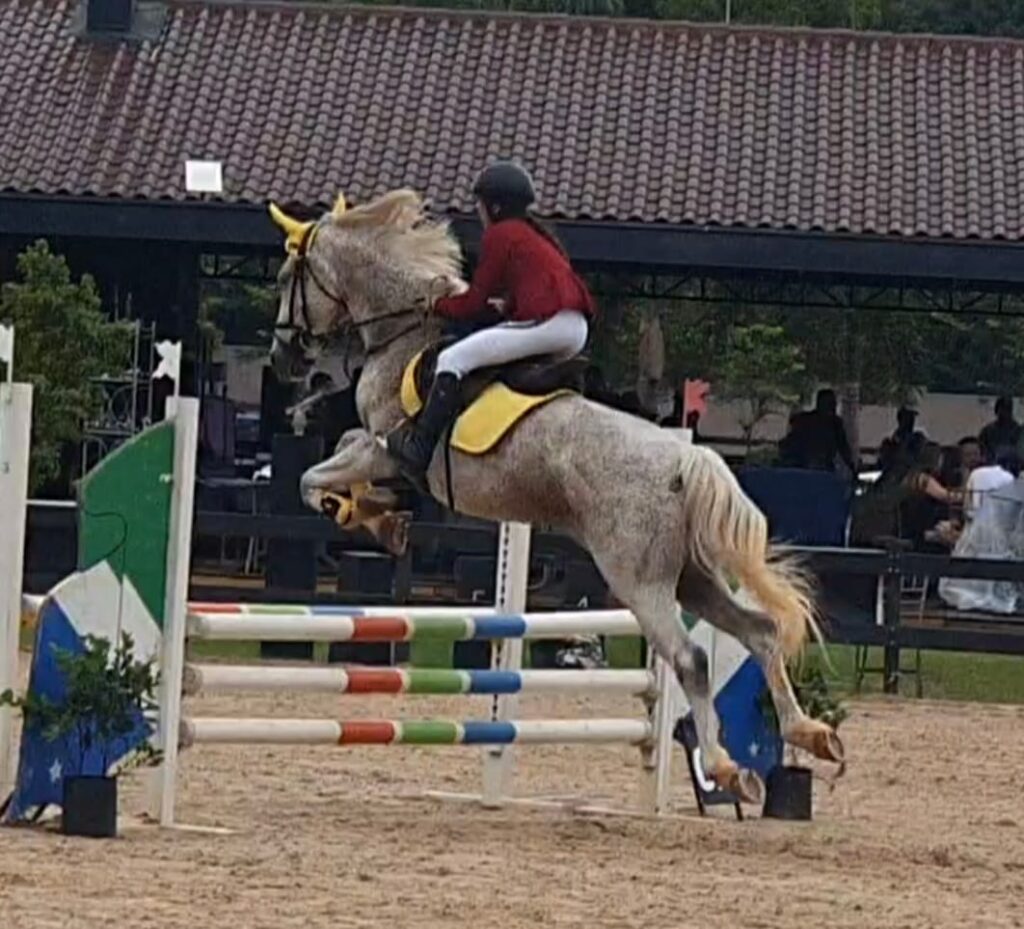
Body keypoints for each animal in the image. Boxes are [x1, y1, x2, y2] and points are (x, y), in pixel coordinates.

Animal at [268, 192, 843, 803]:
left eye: (284, 278)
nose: (283, 358)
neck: (404, 335)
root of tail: (686, 460)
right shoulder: (375, 449)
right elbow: (336, 458)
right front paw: (380, 515)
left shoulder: (390, 451)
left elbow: (313, 479)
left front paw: (368, 515)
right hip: (691, 577)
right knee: (759, 632)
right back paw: (810, 732)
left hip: (638, 580)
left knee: (690, 657)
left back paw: (725, 766)